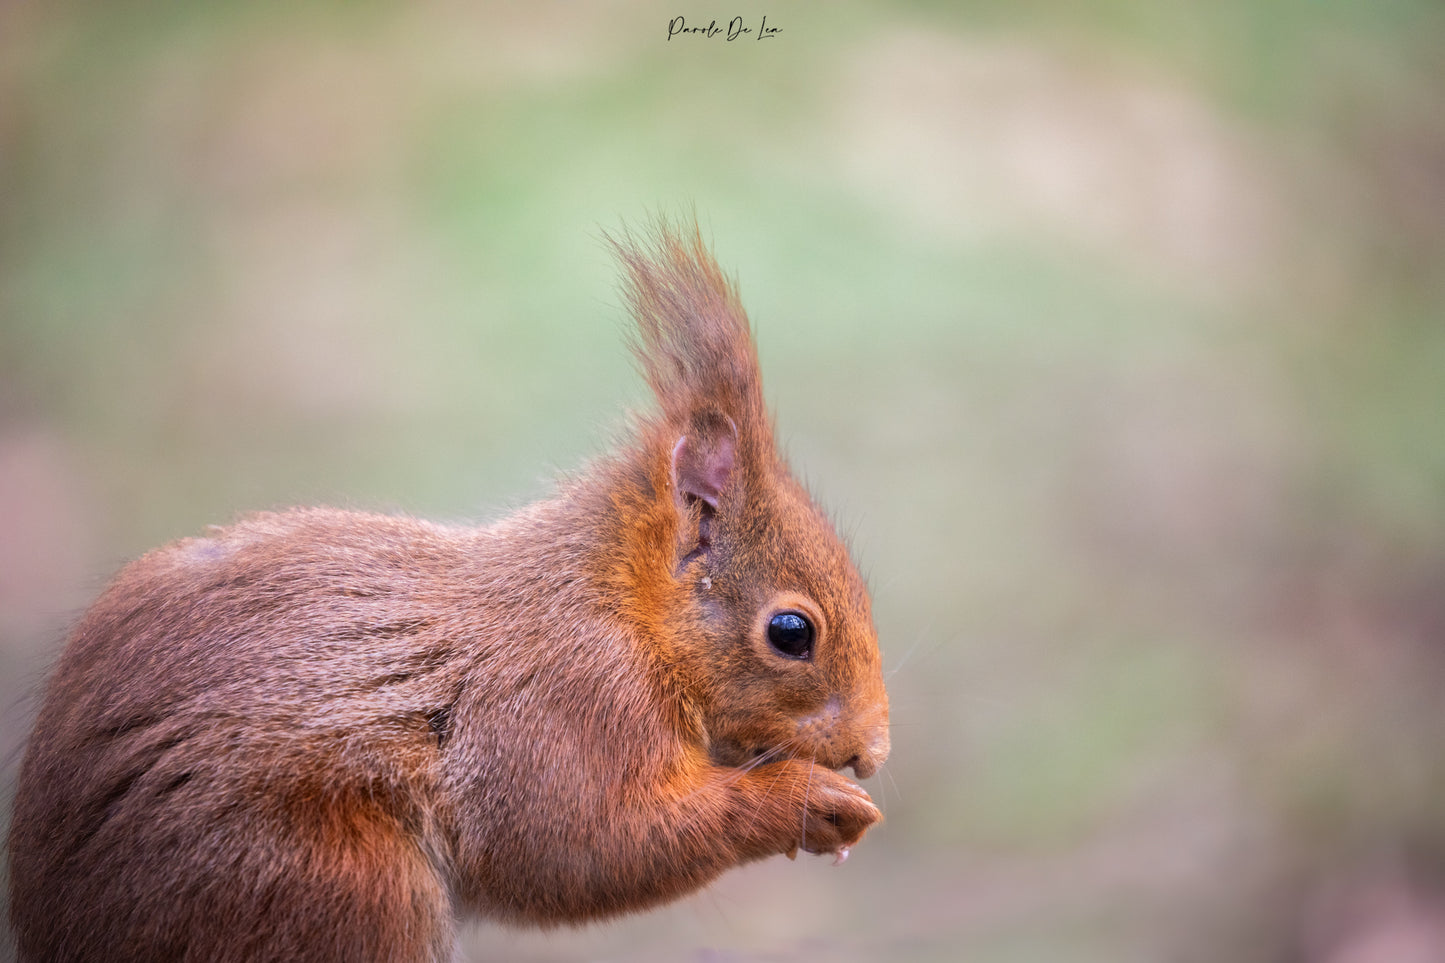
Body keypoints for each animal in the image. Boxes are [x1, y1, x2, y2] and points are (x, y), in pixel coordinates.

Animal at [8, 219, 890, 960]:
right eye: (790, 632)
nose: (872, 752)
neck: (622, 609)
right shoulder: (561, 700)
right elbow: (583, 844)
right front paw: (808, 800)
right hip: (327, 885)